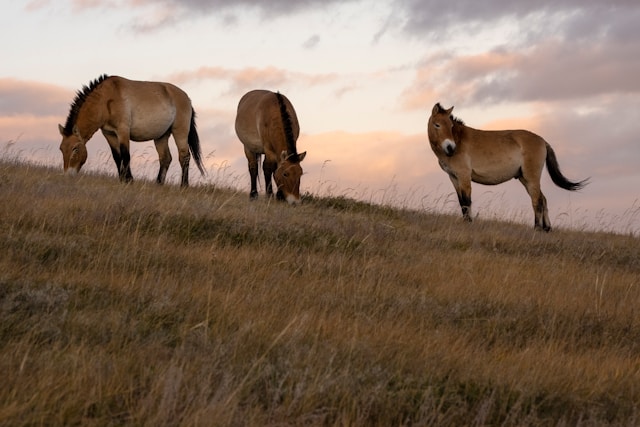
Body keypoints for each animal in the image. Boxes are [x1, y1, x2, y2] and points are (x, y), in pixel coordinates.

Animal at [57, 74, 204, 187]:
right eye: (61, 149)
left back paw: (184, 185)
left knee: (184, 157)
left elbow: (125, 155)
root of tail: (187, 98)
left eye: (75, 148)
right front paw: (122, 179)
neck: (106, 99)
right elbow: (117, 157)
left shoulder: (123, 131)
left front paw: (129, 180)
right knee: (165, 158)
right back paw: (158, 183)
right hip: (161, 136)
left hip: (180, 132)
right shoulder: (109, 134)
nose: (68, 175)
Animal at [428, 102, 588, 232]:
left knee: (537, 201)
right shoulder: (454, 178)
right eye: (437, 125)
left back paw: (537, 228)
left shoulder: (464, 176)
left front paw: (469, 223)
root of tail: (543, 141)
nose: (450, 147)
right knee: (543, 199)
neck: (459, 140)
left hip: (532, 178)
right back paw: (547, 228)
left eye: (451, 126)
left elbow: (467, 201)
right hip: (525, 179)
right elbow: (462, 202)